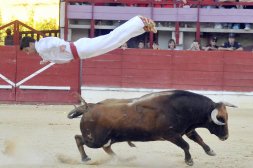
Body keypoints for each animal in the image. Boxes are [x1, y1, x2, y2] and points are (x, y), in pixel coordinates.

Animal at [68, 90, 236, 166]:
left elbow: (198, 139)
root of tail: (90, 107)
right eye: (221, 119)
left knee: (106, 148)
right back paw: (85, 158)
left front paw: (210, 151)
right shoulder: (171, 135)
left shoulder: (187, 130)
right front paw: (189, 161)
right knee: (78, 138)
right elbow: (186, 145)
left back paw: (120, 159)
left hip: (110, 138)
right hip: (94, 139)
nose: (226, 136)